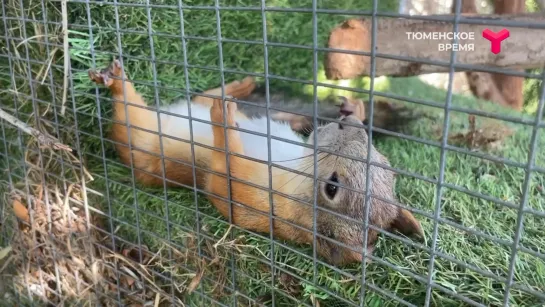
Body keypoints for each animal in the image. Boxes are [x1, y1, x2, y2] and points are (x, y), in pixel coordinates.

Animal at [89, 60, 422, 268]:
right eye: (386, 162)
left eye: (332, 188)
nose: (349, 125)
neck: (294, 169)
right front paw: (356, 108)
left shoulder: (251, 201)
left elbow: (221, 178)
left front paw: (224, 123)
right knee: (202, 96)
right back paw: (239, 87)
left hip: (138, 138)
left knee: (127, 114)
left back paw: (120, 85)